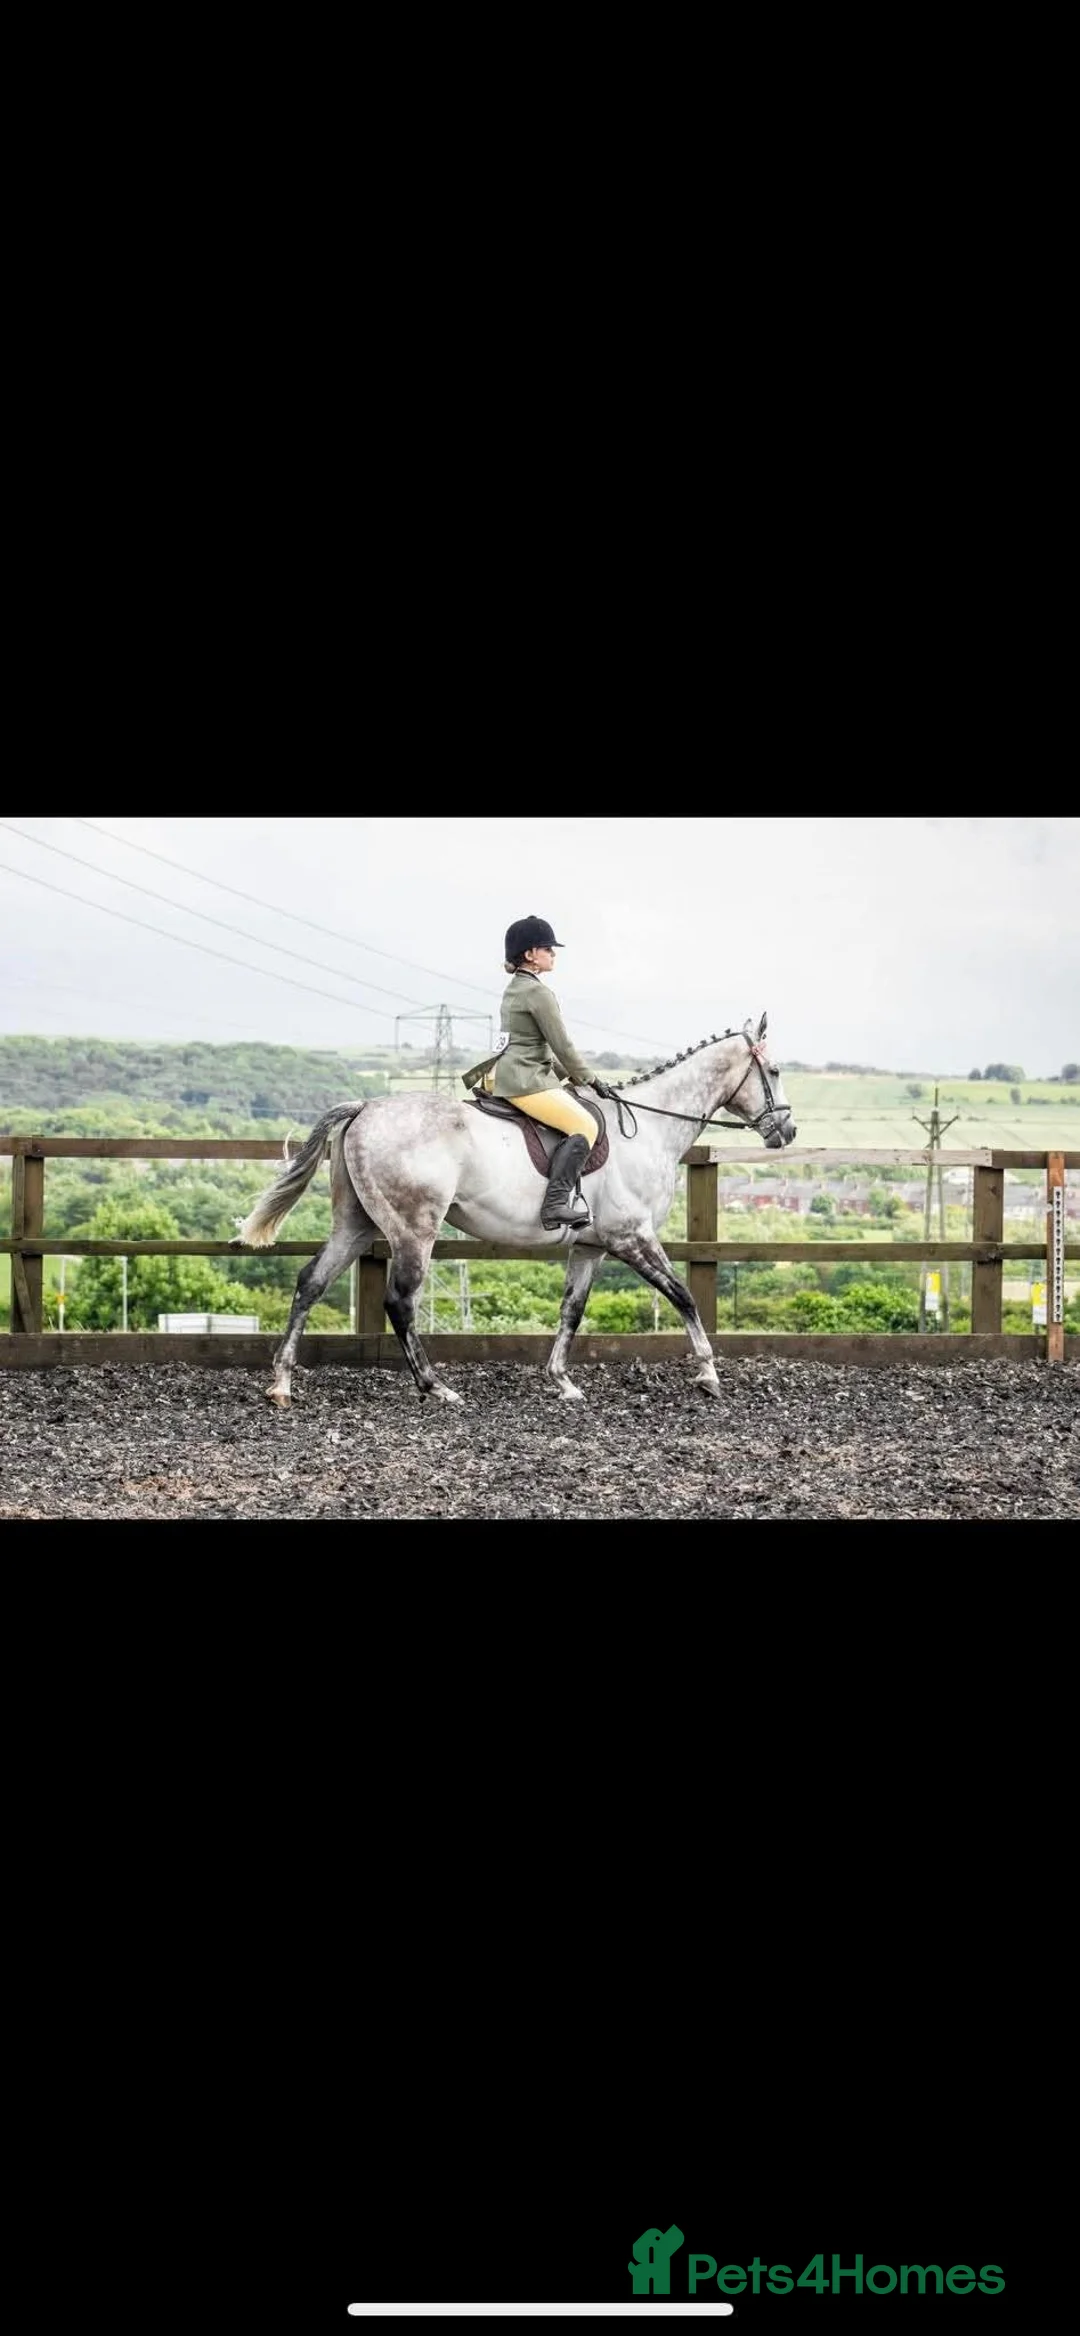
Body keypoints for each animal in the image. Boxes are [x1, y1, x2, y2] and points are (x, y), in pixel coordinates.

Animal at [235, 1012, 796, 1407]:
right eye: (772, 1070)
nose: (786, 1132)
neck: (651, 1128)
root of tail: (366, 1108)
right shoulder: (631, 1237)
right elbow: (684, 1297)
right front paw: (708, 1374)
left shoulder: (590, 1247)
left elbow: (572, 1310)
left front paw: (562, 1382)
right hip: (414, 1230)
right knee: (401, 1301)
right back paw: (436, 1387)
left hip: (356, 1223)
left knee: (311, 1282)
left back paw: (282, 1384)